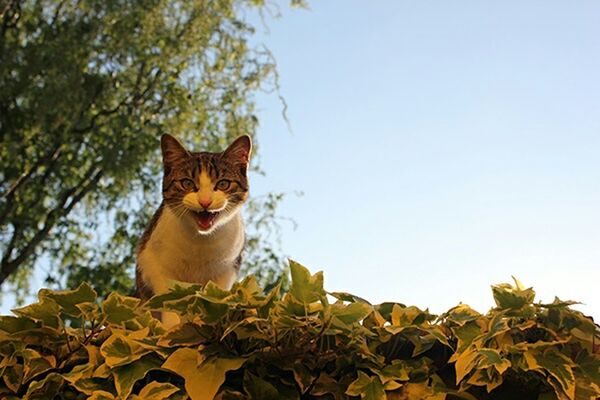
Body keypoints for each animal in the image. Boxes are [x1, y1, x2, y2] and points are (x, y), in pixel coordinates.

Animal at [135, 134, 251, 328]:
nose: (205, 201)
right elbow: (167, 298)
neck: (200, 242)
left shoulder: (228, 268)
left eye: (223, 184)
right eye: (187, 183)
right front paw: (172, 327)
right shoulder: (152, 263)